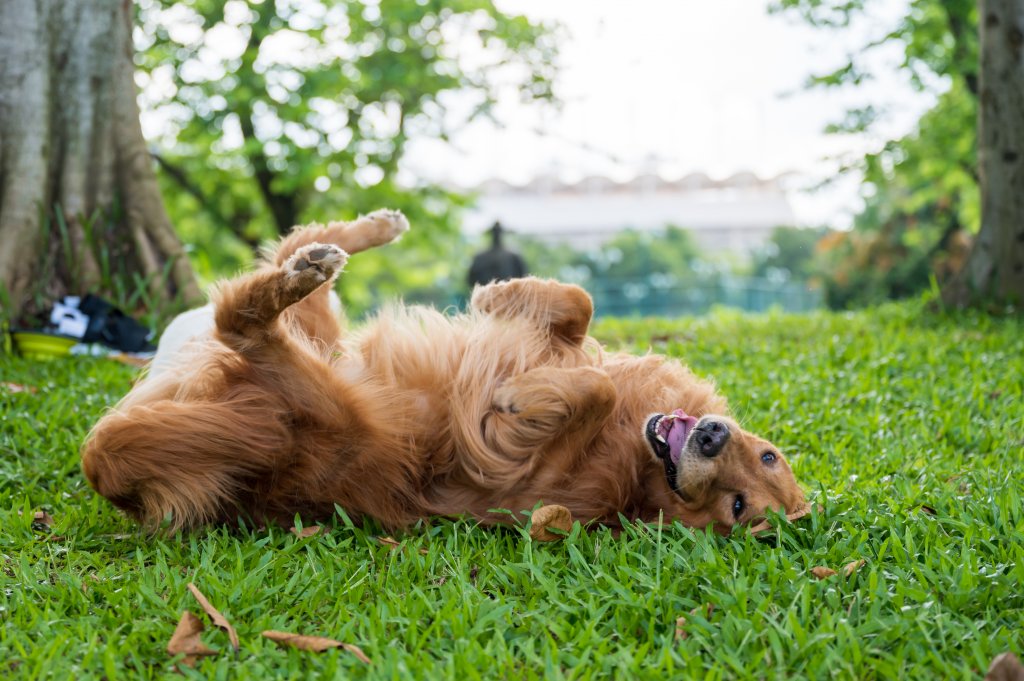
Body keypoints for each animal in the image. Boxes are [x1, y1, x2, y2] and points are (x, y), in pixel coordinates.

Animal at [79, 208, 802, 532]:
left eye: (738, 506)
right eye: (767, 453)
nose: (711, 435)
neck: (634, 456)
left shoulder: (530, 478)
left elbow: (580, 391)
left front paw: (519, 397)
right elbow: (579, 306)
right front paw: (505, 292)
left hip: (334, 409)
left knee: (241, 317)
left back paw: (300, 275)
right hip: (325, 342)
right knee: (294, 247)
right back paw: (362, 234)